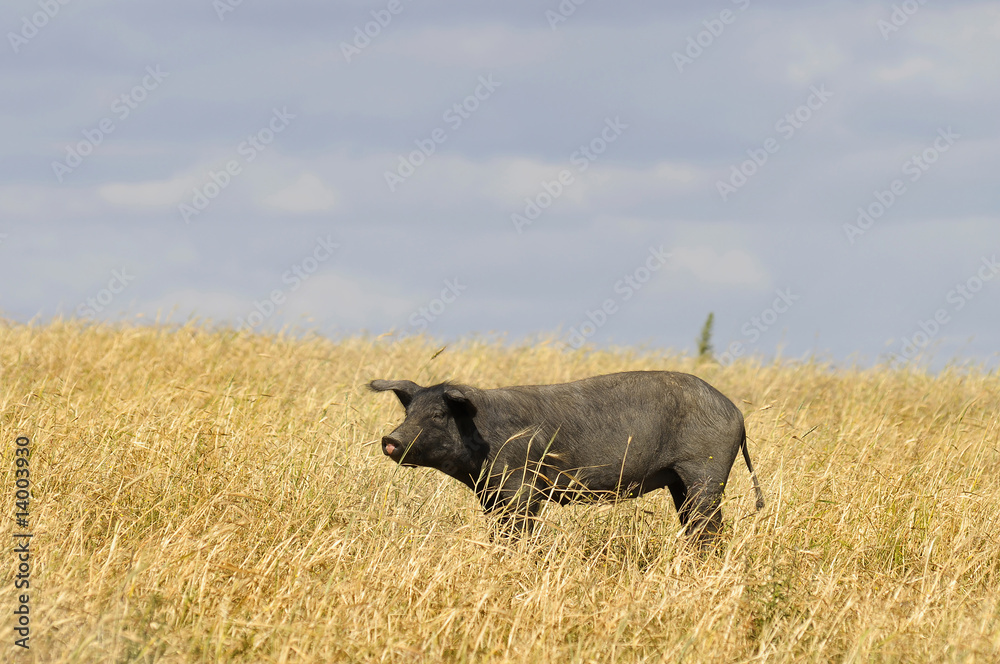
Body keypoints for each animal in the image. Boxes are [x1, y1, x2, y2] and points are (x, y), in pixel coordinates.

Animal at [370, 371, 764, 543]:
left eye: (438, 415)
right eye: (409, 412)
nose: (389, 439)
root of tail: (737, 413)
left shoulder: (521, 485)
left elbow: (518, 529)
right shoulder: (491, 493)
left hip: (705, 472)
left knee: (710, 524)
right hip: (679, 482)